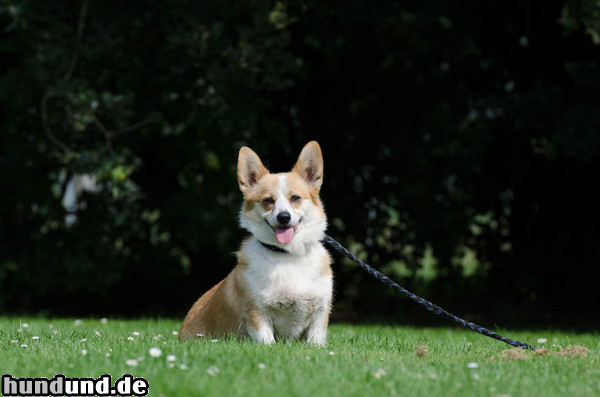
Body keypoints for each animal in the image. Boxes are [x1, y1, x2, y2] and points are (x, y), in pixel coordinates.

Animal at [180, 142, 336, 344]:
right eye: (268, 200)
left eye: (295, 198)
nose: (284, 217)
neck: (287, 255)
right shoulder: (257, 311)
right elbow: (266, 340)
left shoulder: (320, 312)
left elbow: (316, 340)